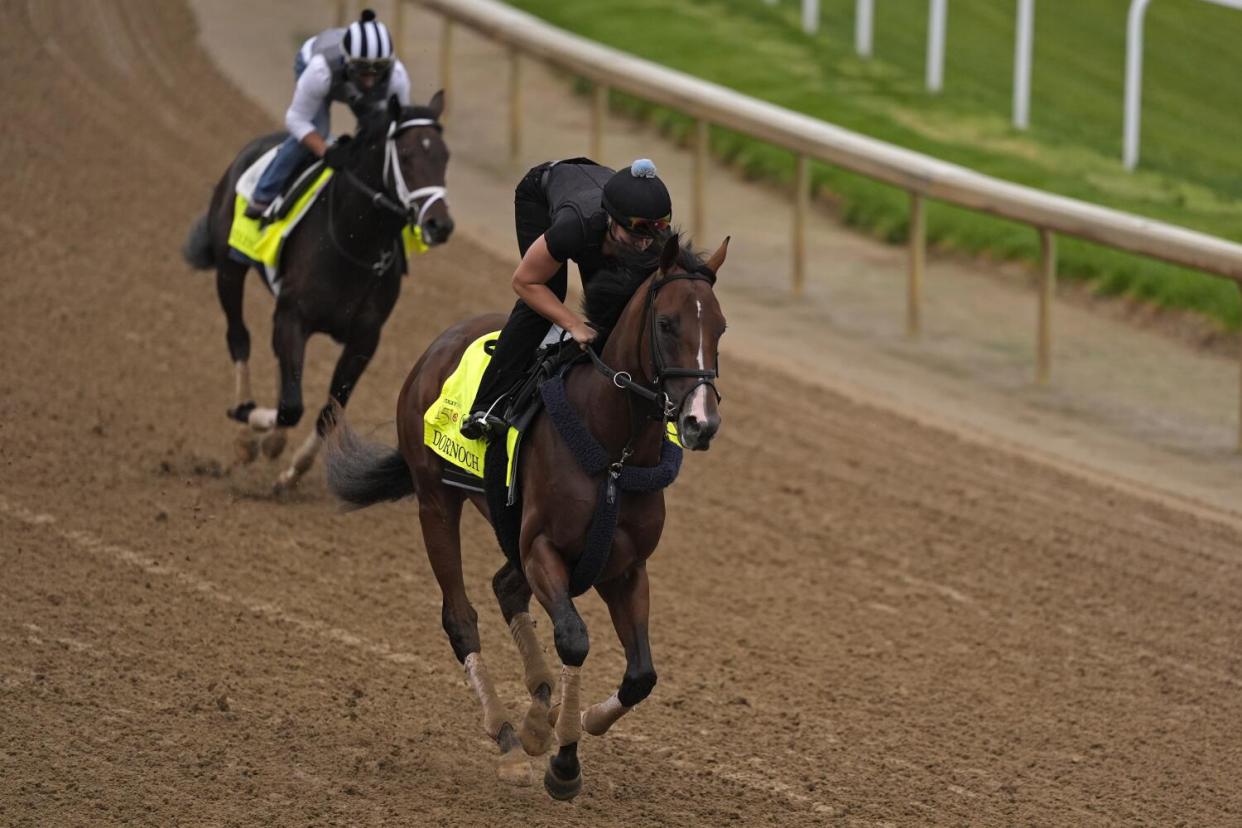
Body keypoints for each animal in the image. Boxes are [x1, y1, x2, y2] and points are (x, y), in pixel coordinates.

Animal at [181, 92, 454, 491]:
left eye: (445, 156)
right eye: (405, 155)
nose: (440, 225)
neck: (354, 240)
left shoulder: (364, 339)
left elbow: (328, 409)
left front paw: (294, 468)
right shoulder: (293, 316)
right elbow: (291, 406)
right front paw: (260, 433)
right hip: (229, 269)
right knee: (238, 337)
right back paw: (246, 423)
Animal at [325, 234, 725, 804]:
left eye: (721, 328)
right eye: (667, 323)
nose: (700, 422)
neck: (614, 452)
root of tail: (436, 347)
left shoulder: (625, 569)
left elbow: (642, 674)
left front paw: (580, 720)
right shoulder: (542, 550)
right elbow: (575, 639)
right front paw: (564, 762)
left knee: (505, 588)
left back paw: (538, 714)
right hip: (436, 501)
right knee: (461, 618)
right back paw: (510, 738)